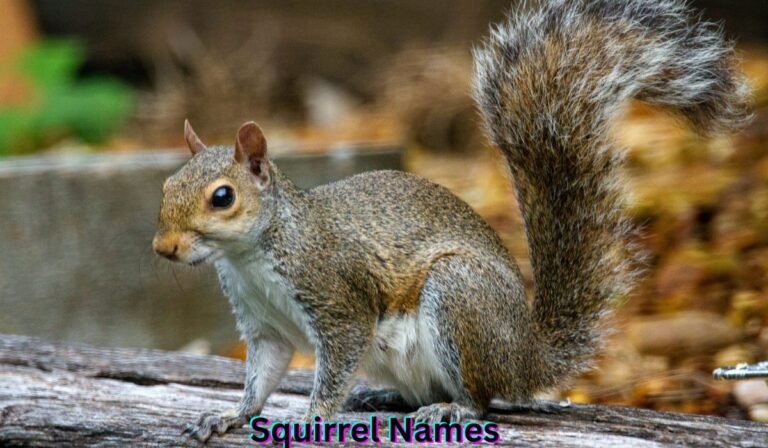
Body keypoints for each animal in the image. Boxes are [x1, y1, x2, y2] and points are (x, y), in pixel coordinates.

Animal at [153, 0, 750, 442]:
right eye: (164, 187)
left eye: (222, 197)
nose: (163, 249)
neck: (252, 254)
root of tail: (526, 357)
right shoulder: (264, 325)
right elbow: (261, 376)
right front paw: (228, 416)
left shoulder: (337, 298)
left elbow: (335, 362)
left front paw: (310, 418)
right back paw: (385, 394)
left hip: (458, 297)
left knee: (483, 398)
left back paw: (452, 410)